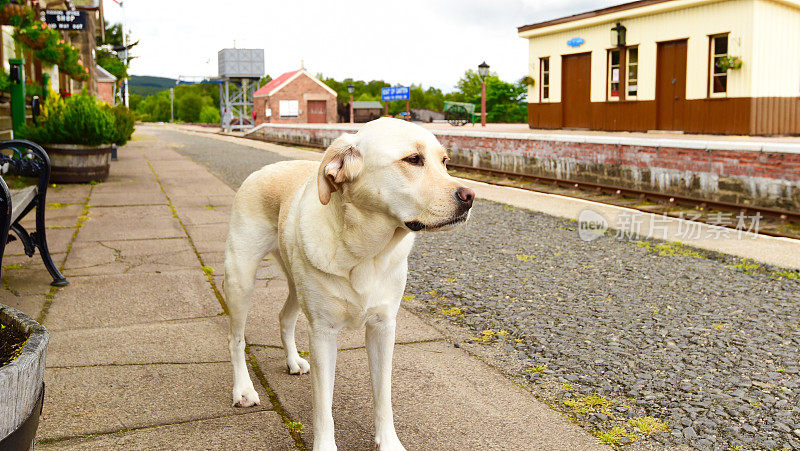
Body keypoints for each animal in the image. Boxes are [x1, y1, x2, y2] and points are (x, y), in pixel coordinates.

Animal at [223, 118, 476, 450]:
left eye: (445, 161)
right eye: (413, 159)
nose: (470, 196)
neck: (367, 251)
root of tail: (267, 168)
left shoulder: (384, 327)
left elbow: (383, 395)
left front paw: (388, 441)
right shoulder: (322, 333)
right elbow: (323, 405)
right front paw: (325, 445)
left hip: (295, 284)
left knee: (284, 317)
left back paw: (292, 361)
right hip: (240, 279)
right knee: (236, 339)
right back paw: (243, 389)